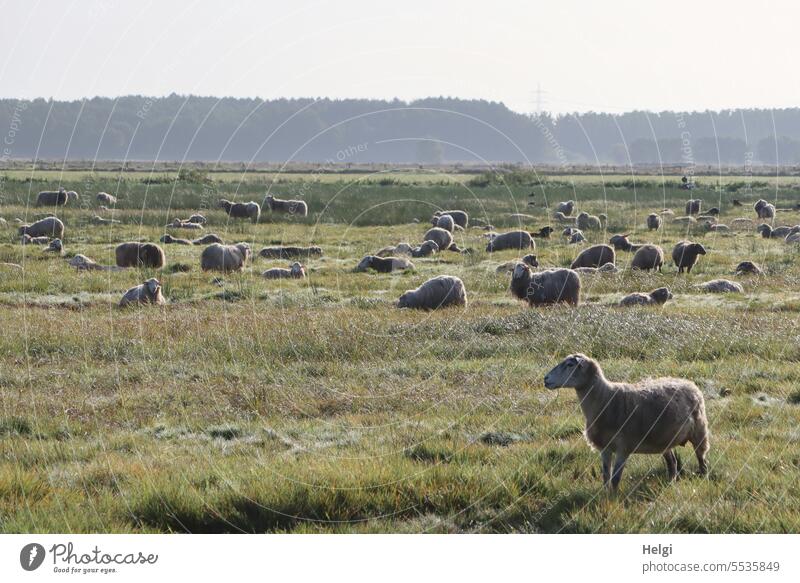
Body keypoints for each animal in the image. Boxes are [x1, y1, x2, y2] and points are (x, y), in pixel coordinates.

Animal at [540, 354, 708, 490]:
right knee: (672, 462)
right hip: (664, 440)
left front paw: (613, 501)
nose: (545, 379)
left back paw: (703, 478)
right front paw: (605, 496)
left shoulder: (623, 447)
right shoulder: (605, 448)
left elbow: (615, 479)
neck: (605, 398)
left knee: (702, 459)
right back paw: (670, 483)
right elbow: (606, 476)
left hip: (699, 431)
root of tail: (688, 382)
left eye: (570, 365)